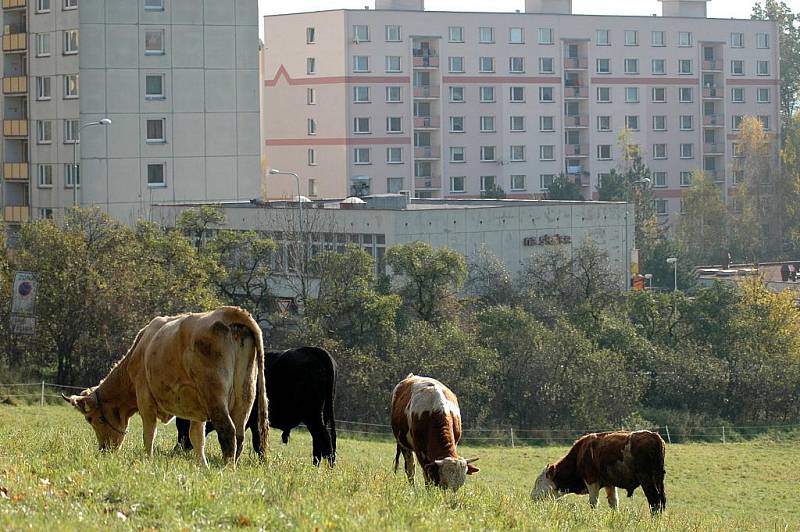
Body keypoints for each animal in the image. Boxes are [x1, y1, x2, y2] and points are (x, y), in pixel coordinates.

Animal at [61, 308, 268, 466]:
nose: (104, 450)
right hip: (245, 395)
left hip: (215, 397)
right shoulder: (197, 412)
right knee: (240, 435)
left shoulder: (145, 399)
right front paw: (203, 465)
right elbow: (197, 438)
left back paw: (226, 469)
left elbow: (149, 434)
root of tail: (228, 312)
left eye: (92, 419)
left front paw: (148, 460)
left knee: (227, 432)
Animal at [175, 344, 338, 466]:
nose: (178, 449)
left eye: (183, 423)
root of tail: (314, 351)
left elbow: (255, 442)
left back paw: (328, 466)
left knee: (324, 438)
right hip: (317, 416)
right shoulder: (253, 422)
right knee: (319, 440)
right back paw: (317, 465)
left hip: (313, 415)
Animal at [532, 428, 668, 512]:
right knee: (661, 500)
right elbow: (613, 503)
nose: (532, 496)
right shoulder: (610, 484)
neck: (580, 454)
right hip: (658, 480)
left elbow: (594, 503)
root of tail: (654, 436)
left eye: (538, 481)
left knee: (654, 500)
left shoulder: (591, 480)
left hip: (647, 479)